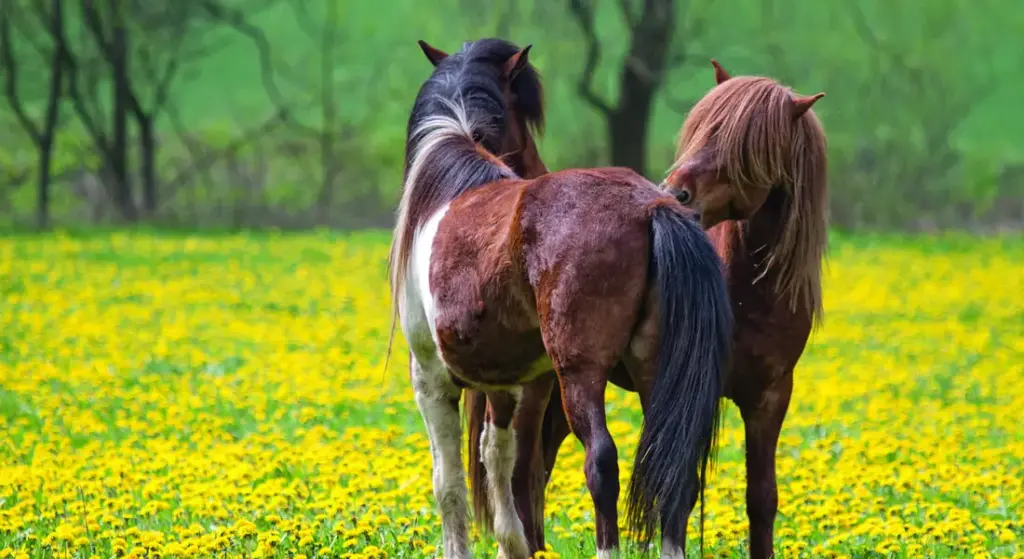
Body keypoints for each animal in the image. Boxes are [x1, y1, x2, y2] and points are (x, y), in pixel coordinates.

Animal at [388, 38, 742, 559]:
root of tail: (653, 207)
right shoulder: (509, 382)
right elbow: (500, 459)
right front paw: (512, 543)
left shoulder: (431, 376)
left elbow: (449, 481)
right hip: (654, 370)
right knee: (673, 471)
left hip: (580, 375)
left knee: (602, 462)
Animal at [464, 60, 829, 559]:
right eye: (699, 130)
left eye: (746, 146)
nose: (675, 192)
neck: (748, 293)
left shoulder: (770, 397)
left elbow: (760, 496)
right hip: (541, 388)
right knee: (524, 468)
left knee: (537, 468)